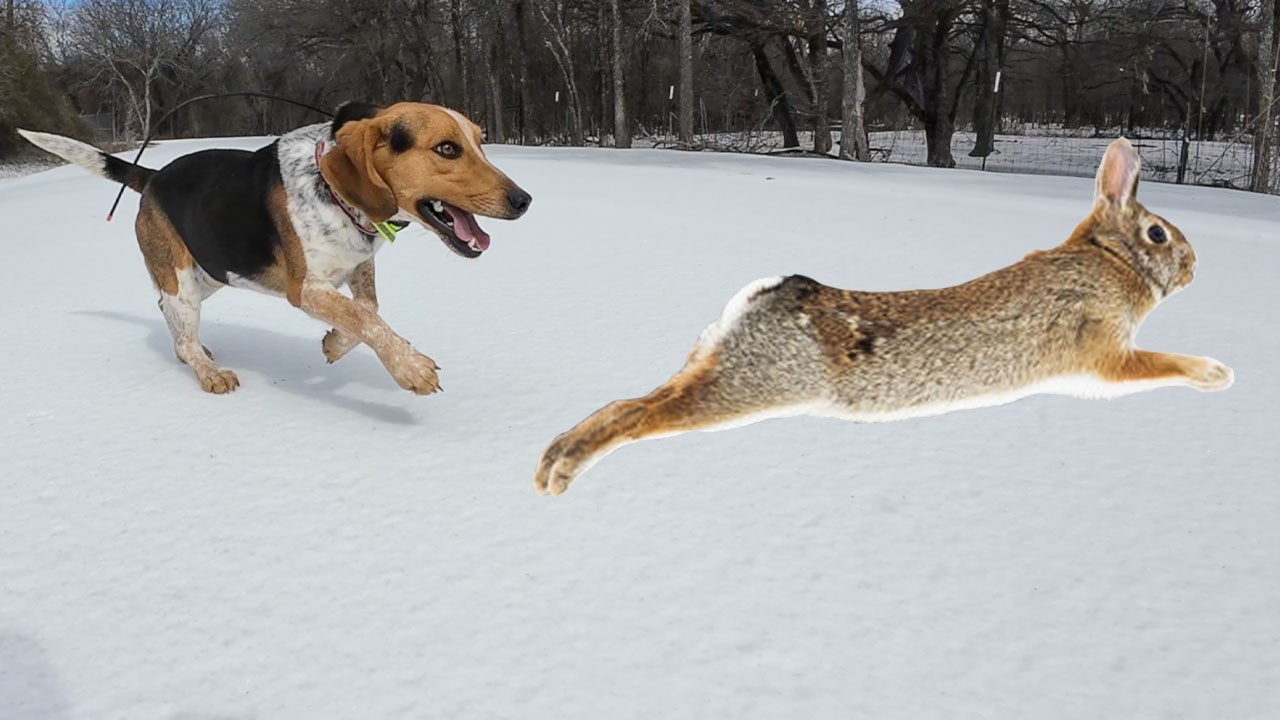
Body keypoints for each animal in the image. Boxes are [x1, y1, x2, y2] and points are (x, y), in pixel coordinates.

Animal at [533, 137, 1234, 496]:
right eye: (1159, 234)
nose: (1197, 266)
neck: (1107, 258)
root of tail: (770, 296)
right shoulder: (1103, 355)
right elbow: (1158, 364)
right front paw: (1217, 375)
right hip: (750, 388)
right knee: (642, 415)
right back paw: (562, 475)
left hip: (718, 369)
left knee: (631, 401)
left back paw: (549, 463)